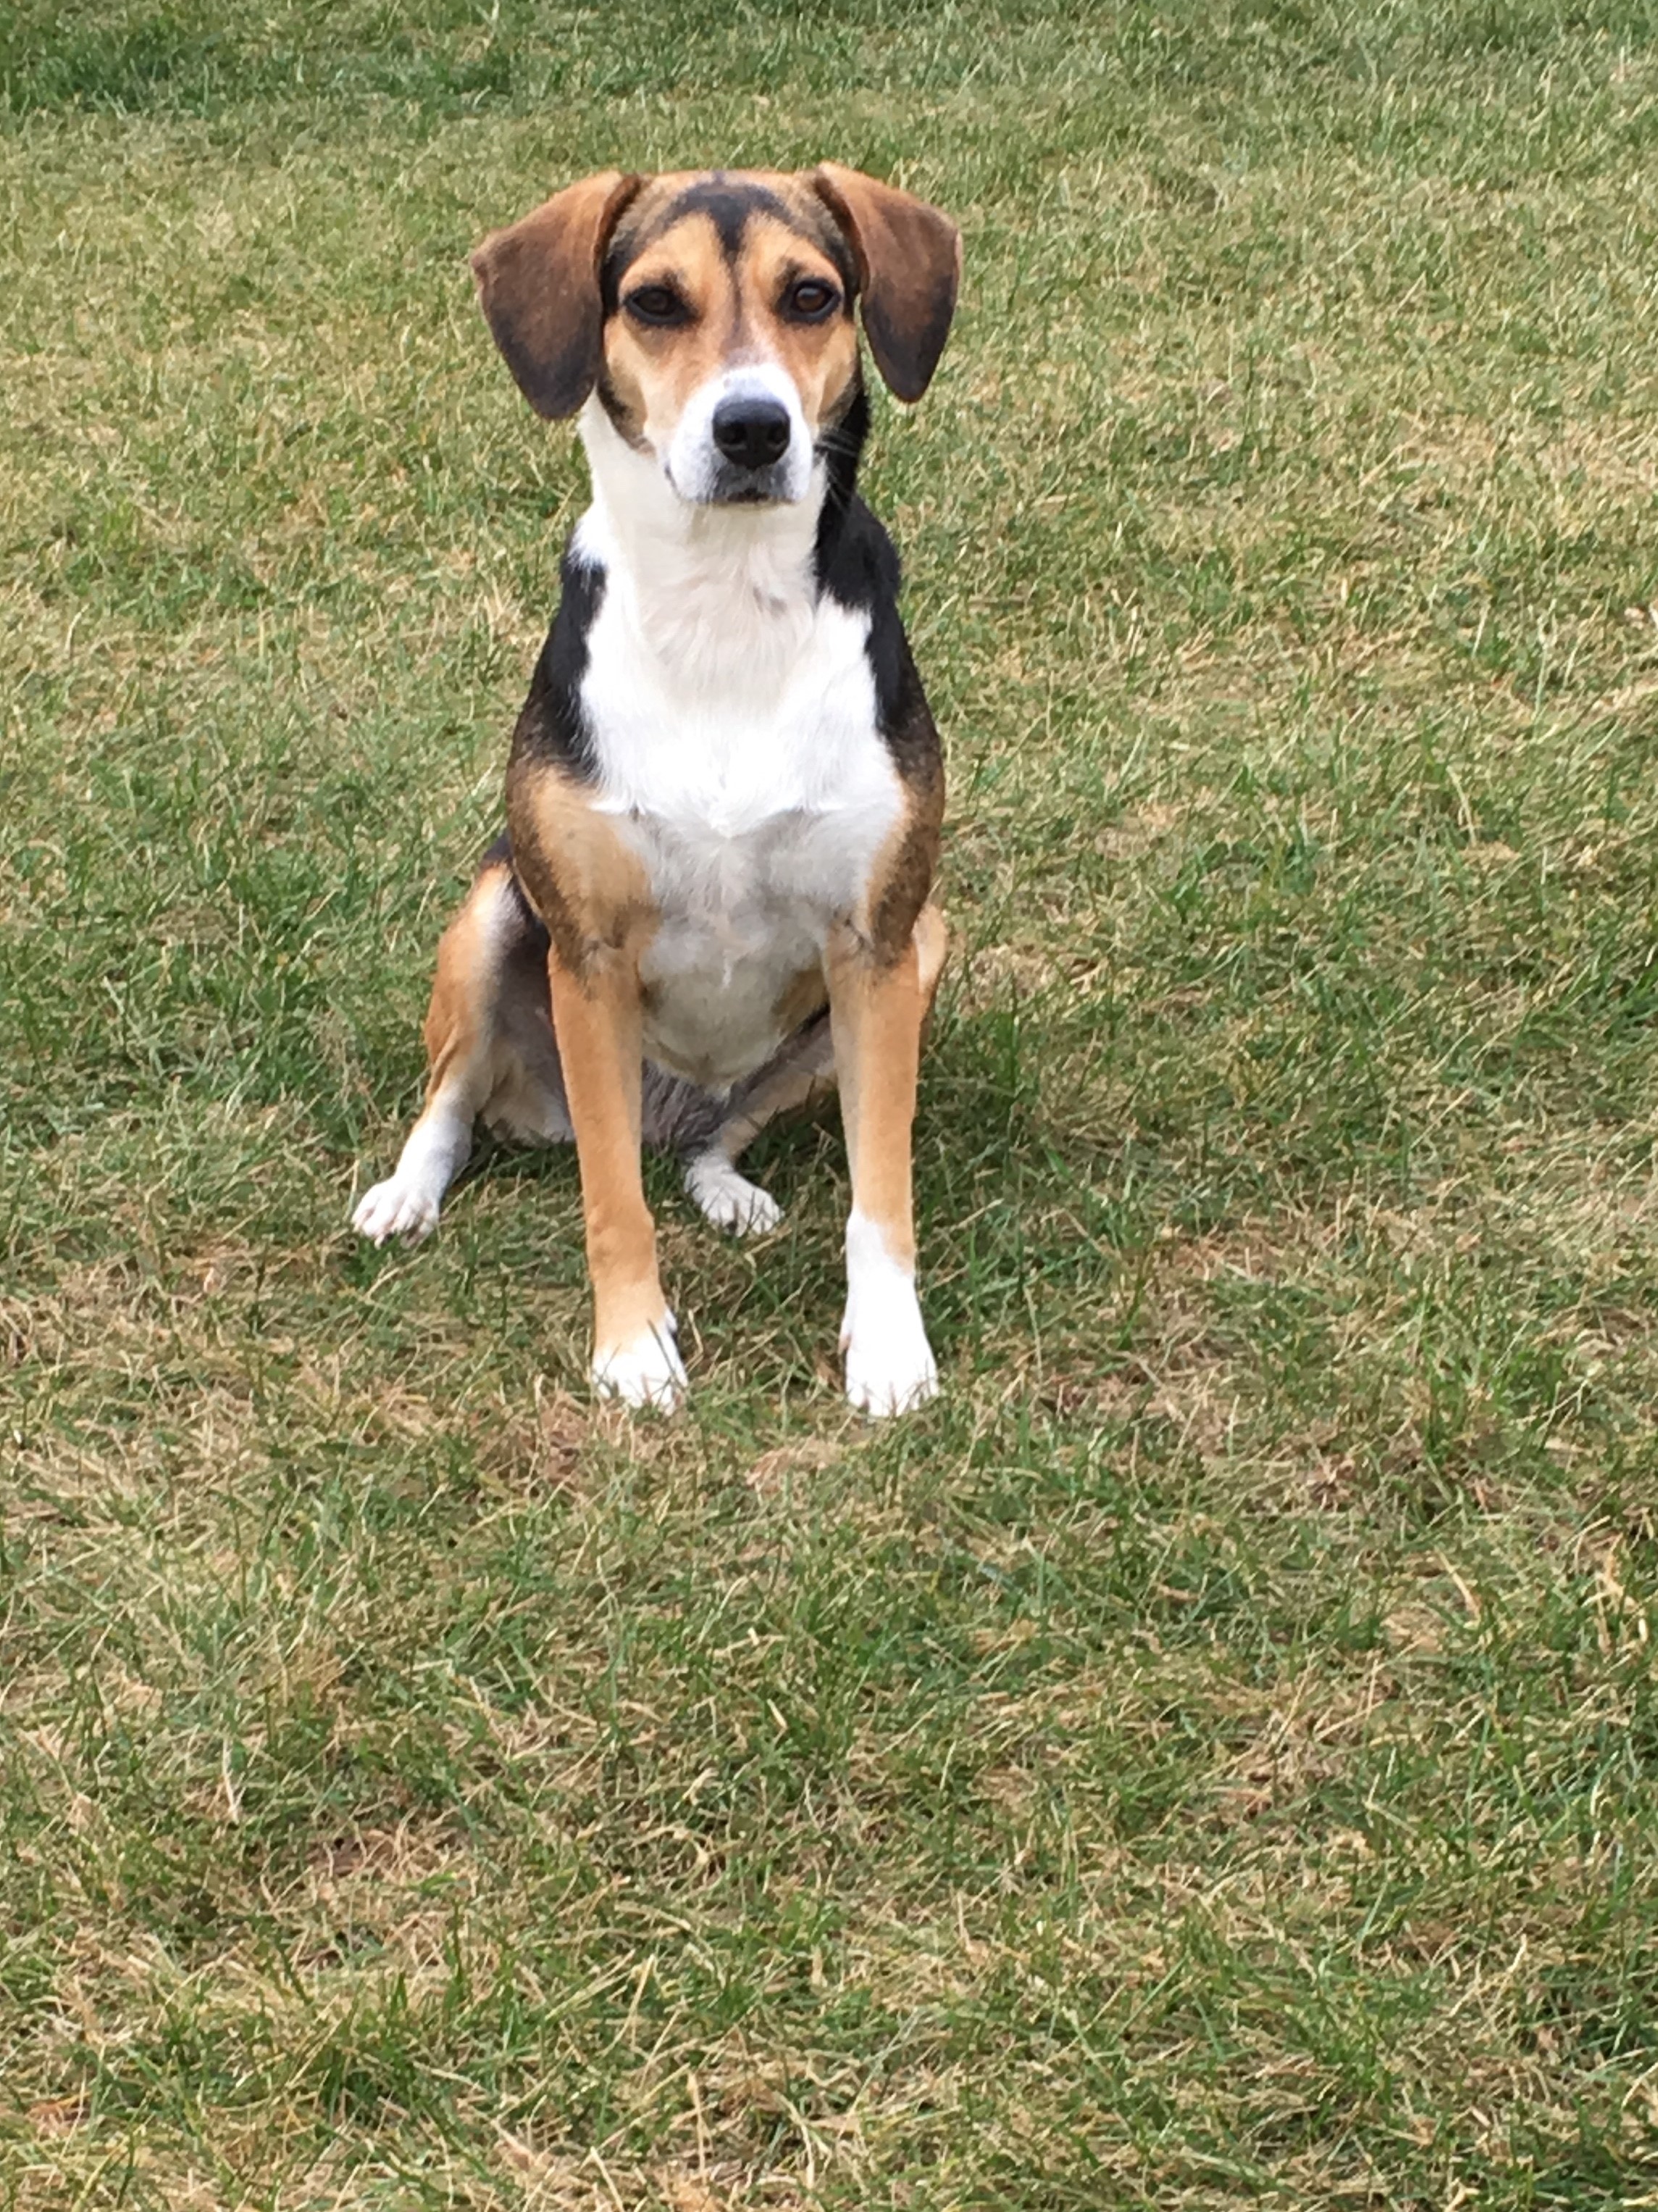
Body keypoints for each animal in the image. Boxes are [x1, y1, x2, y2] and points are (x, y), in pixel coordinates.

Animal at [352, 166, 960, 1417]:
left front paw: (889, 1348)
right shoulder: (585, 952)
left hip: (925, 945)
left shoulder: (878, 943)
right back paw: (406, 1191)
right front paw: (632, 1347)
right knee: (458, 1099)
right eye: (654, 302)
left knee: (704, 1144)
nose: (753, 427)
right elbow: (610, 1201)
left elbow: (881, 1193)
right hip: (493, 912)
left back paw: (725, 1180)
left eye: (812, 294)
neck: (723, 603)